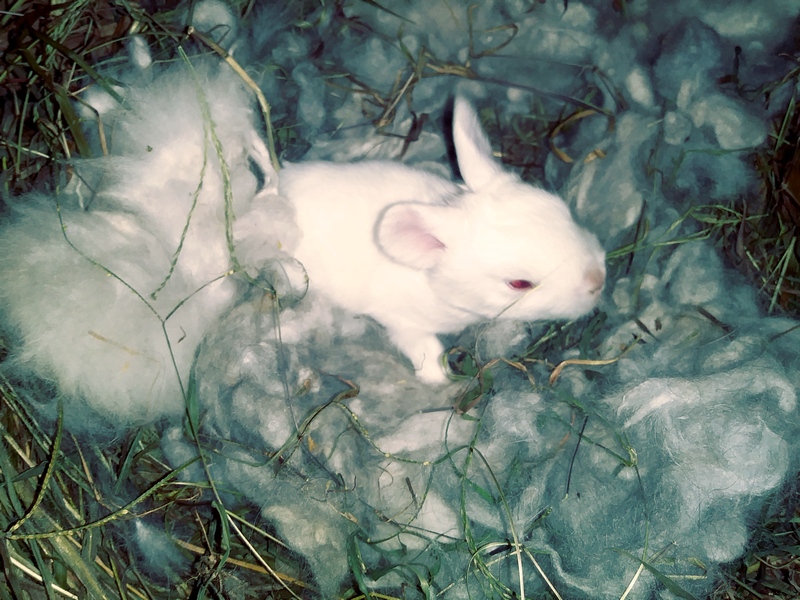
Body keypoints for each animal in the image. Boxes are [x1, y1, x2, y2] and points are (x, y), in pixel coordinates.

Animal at [278, 96, 604, 382]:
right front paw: (441, 380)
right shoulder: (402, 320)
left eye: (563, 211)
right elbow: (426, 349)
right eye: (519, 284)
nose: (597, 281)